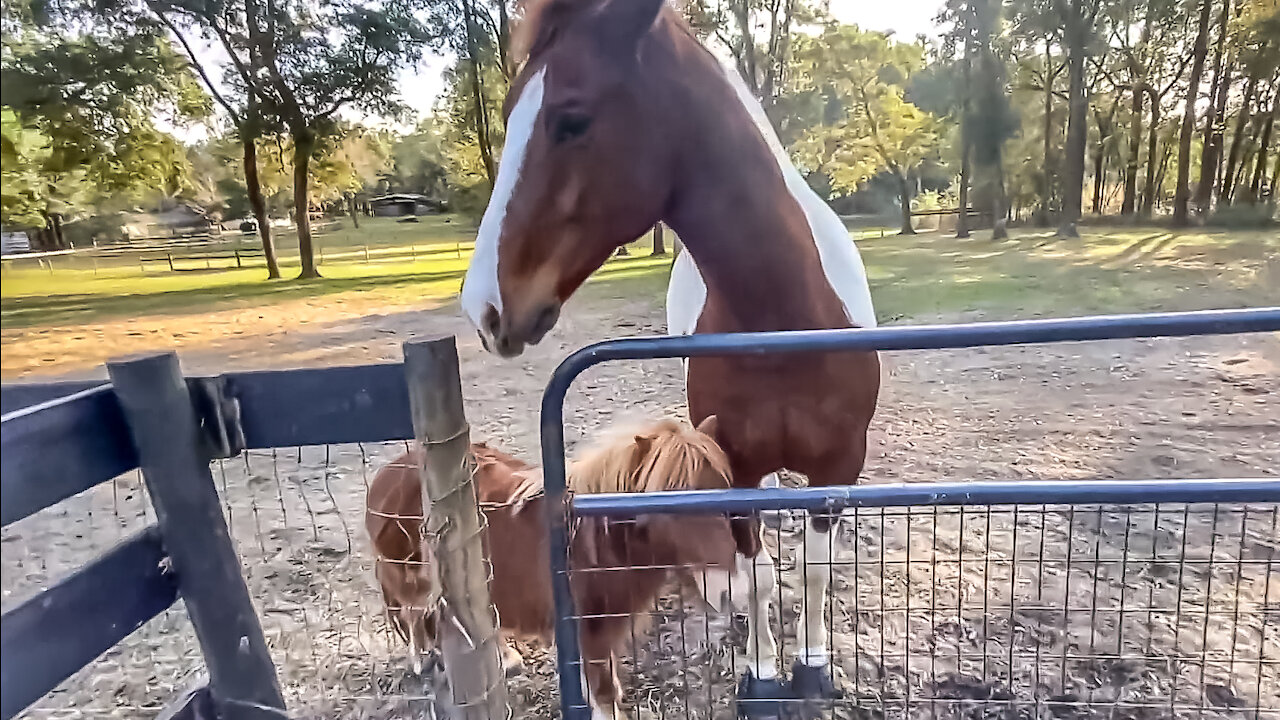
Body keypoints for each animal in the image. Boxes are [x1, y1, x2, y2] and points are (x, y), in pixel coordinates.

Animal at [366, 415, 737, 717]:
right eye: (670, 504)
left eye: (724, 490)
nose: (728, 589)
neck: (589, 537)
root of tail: (392, 471)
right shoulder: (587, 631)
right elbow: (603, 693)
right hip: (413, 578)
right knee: (412, 613)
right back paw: (420, 659)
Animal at [458, 0, 880, 702]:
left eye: (571, 118)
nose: (483, 307)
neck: (786, 326)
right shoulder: (737, 469)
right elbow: (757, 577)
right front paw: (762, 672)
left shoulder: (838, 467)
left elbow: (814, 571)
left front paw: (814, 665)